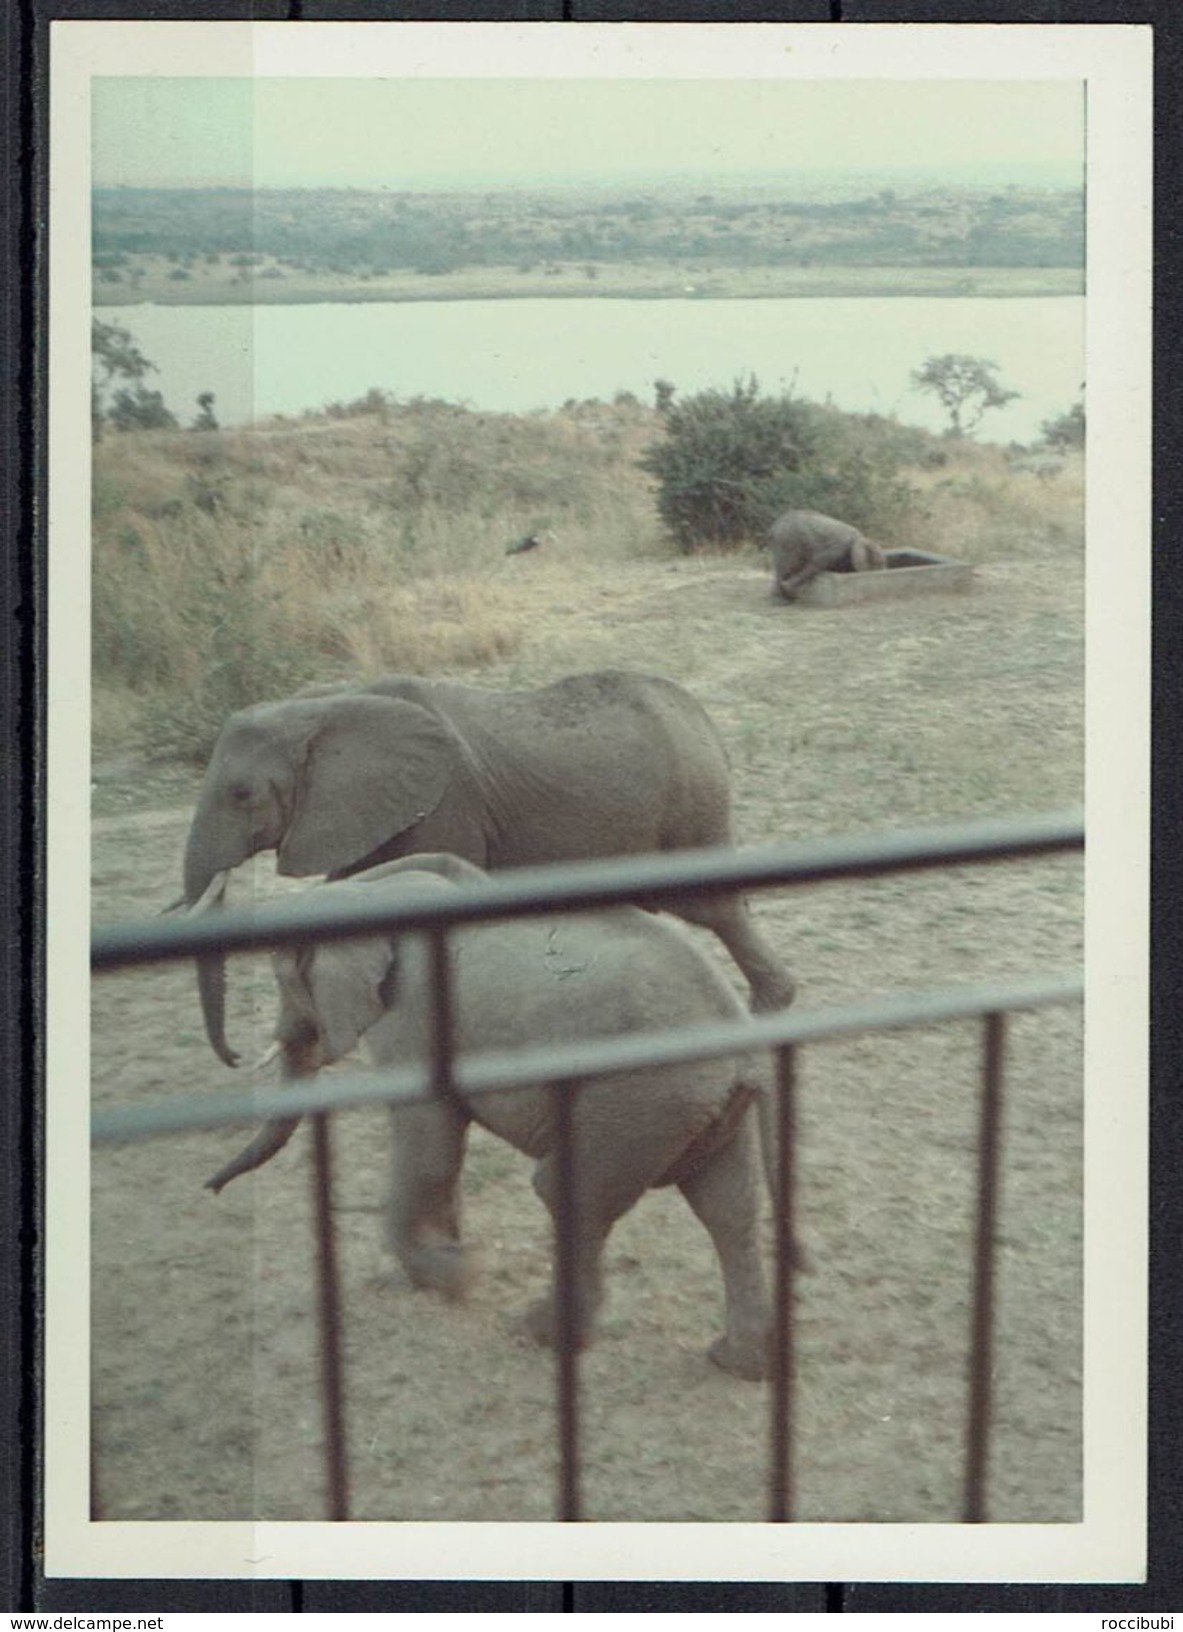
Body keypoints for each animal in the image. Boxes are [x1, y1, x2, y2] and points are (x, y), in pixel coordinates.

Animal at [180, 669, 799, 1064]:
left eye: (241, 794)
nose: (234, 1057)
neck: (325, 704)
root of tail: (703, 718)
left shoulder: (443, 804)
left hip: (689, 806)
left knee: (712, 906)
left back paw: (769, 1013)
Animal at [208, 855, 793, 1377]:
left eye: (284, 979)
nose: (211, 1188)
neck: (371, 891)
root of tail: (745, 1050)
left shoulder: (412, 1016)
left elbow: (429, 1141)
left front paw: (458, 1275)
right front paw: (446, 1258)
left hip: (639, 1097)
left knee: (566, 1193)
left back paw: (535, 1332)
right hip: (698, 1108)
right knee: (728, 1207)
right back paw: (736, 1361)